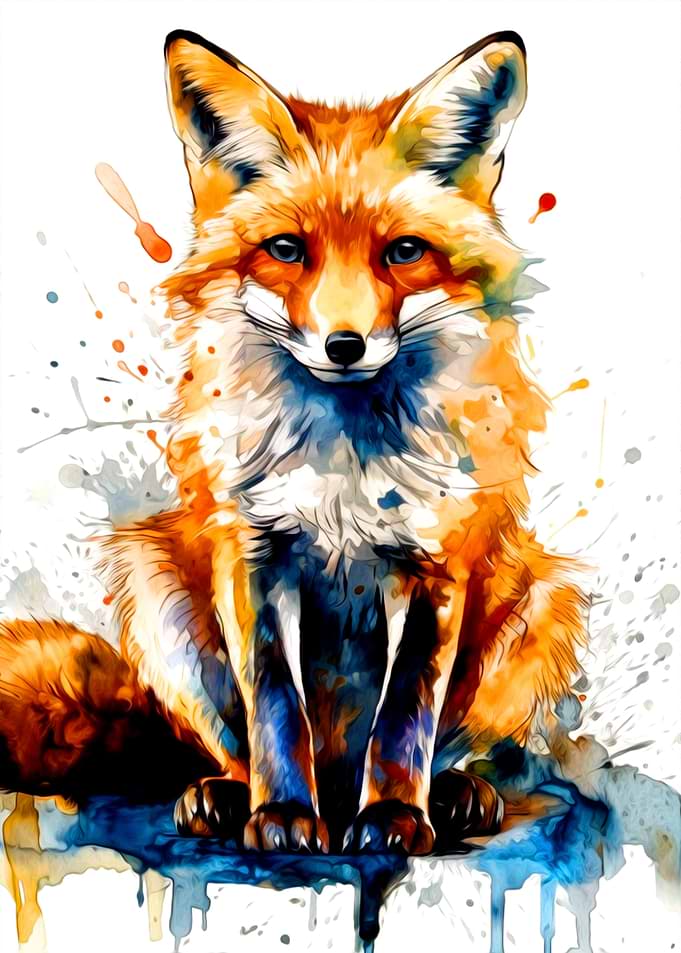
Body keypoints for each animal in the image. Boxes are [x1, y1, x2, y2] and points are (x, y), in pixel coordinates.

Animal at [0, 29, 588, 855]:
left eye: (402, 253)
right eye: (286, 249)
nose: (344, 345)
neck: (341, 472)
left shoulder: (434, 568)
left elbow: (404, 717)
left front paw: (393, 816)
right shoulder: (252, 556)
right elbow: (276, 706)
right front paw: (280, 813)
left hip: (544, 599)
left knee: (450, 743)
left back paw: (449, 794)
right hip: (153, 581)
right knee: (229, 746)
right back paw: (229, 795)